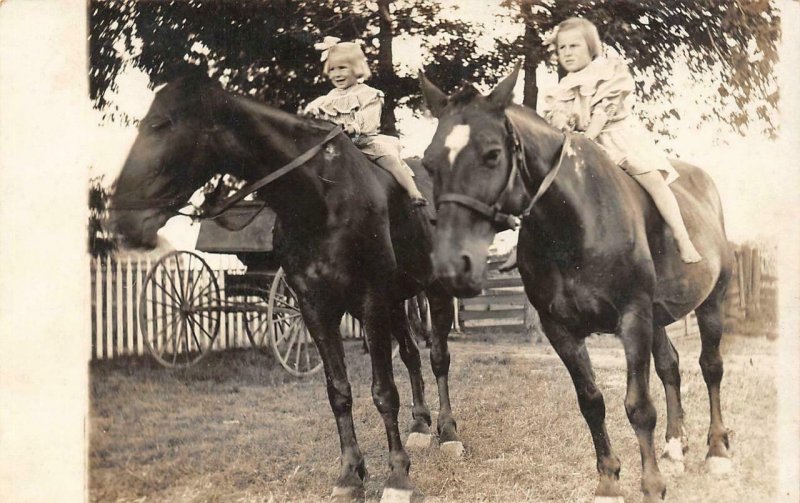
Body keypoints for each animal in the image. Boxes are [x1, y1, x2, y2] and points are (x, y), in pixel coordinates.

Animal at [111, 75, 462, 503]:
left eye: (161, 124)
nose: (123, 220)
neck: (320, 198)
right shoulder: (316, 309)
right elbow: (338, 391)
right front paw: (350, 474)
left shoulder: (369, 303)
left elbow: (383, 392)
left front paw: (397, 477)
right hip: (396, 302)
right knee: (412, 355)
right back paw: (421, 425)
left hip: (432, 293)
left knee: (438, 357)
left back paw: (448, 432)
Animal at [422, 68, 736, 503]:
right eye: (429, 163)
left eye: (492, 154)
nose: (453, 264)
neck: (573, 225)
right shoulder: (561, 329)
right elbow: (591, 401)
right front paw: (608, 480)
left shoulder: (632, 319)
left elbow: (639, 406)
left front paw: (652, 485)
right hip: (657, 317)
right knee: (670, 367)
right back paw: (676, 445)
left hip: (711, 303)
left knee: (711, 367)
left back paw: (717, 449)